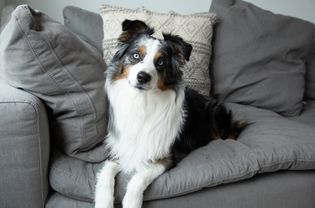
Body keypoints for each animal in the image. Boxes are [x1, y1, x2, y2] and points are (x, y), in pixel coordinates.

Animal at [94, 19, 247, 208]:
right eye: (136, 55)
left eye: (161, 62)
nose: (143, 77)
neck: (142, 102)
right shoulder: (118, 149)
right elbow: (106, 174)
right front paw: (103, 201)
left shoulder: (167, 156)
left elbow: (138, 179)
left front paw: (131, 202)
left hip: (216, 116)